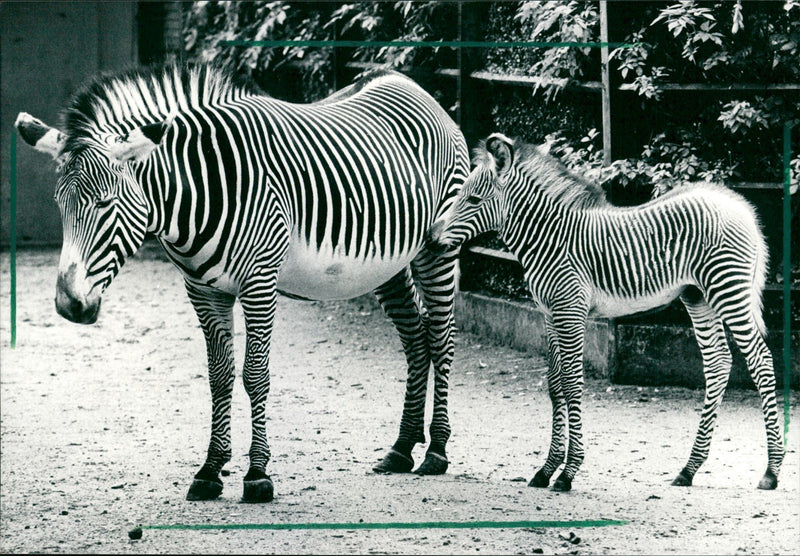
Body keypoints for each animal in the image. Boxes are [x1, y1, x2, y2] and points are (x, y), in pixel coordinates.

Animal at [14, 62, 469, 503]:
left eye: (106, 203)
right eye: (59, 205)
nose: (68, 305)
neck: (198, 194)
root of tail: (407, 82)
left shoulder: (260, 282)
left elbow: (254, 375)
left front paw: (258, 474)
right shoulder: (203, 290)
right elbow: (219, 377)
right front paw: (210, 470)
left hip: (438, 247)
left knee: (441, 339)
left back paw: (436, 450)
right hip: (387, 265)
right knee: (416, 339)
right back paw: (402, 448)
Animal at [427, 133, 784, 492]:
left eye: (473, 199)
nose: (430, 239)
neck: (549, 238)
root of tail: (738, 205)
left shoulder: (570, 310)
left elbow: (572, 384)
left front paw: (568, 472)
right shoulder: (549, 314)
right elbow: (554, 386)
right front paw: (546, 469)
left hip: (728, 289)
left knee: (761, 361)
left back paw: (771, 471)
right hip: (697, 296)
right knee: (718, 363)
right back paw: (689, 468)